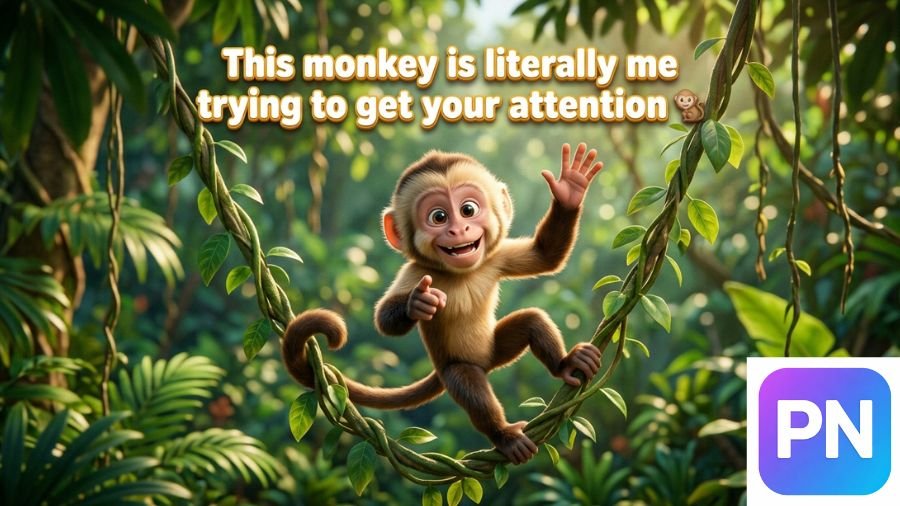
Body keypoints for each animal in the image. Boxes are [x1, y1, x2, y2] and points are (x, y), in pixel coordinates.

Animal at [282, 143, 604, 464]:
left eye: (468, 210)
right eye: (438, 216)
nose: (459, 231)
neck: (460, 273)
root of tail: (485, 362)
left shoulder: (494, 257)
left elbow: (546, 256)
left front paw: (570, 190)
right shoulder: (416, 272)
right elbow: (384, 321)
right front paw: (417, 303)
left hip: (496, 348)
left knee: (532, 321)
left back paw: (566, 365)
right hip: (455, 365)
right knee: (467, 381)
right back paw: (504, 436)